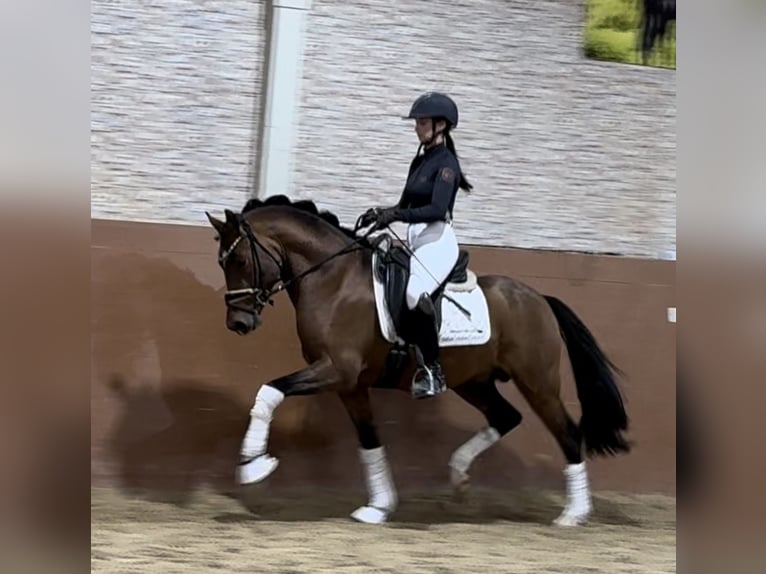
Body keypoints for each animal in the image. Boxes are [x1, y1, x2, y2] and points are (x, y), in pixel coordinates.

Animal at [204, 196, 632, 528]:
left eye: (239, 259)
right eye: (222, 262)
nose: (238, 323)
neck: (333, 280)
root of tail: (539, 298)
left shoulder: (336, 370)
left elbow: (269, 391)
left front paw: (254, 465)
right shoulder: (350, 385)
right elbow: (370, 441)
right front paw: (378, 508)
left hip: (537, 382)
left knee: (568, 433)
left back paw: (573, 514)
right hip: (473, 381)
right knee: (506, 417)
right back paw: (459, 476)